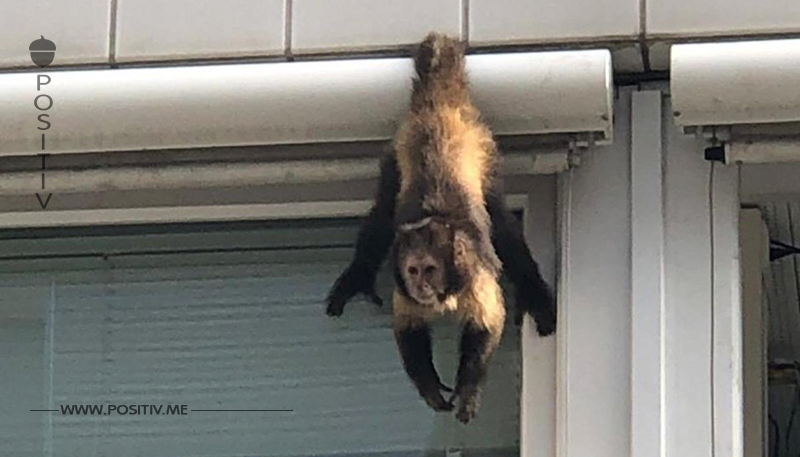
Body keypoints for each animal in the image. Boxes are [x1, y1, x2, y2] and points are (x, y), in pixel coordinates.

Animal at [324, 32, 556, 424]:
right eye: (413, 271)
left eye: (430, 269)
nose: (421, 284)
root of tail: (439, 103)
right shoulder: (404, 284)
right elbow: (408, 328)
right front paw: (430, 388)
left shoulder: (473, 273)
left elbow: (487, 322)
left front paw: (468, 391)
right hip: (395, 152)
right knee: (383, 210)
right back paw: (358, 275)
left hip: (484, 147)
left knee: (502, 223)